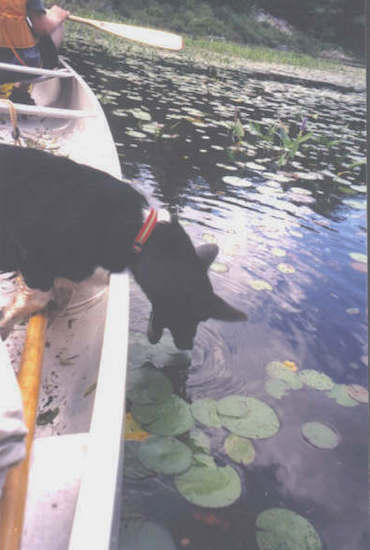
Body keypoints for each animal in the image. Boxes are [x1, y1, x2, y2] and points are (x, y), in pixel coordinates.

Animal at [1, 143, 247, 350]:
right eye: (197, 314)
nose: (188, 347)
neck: (138, 233)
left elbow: (59, 296)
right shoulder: (32, 259)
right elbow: (37, 297)